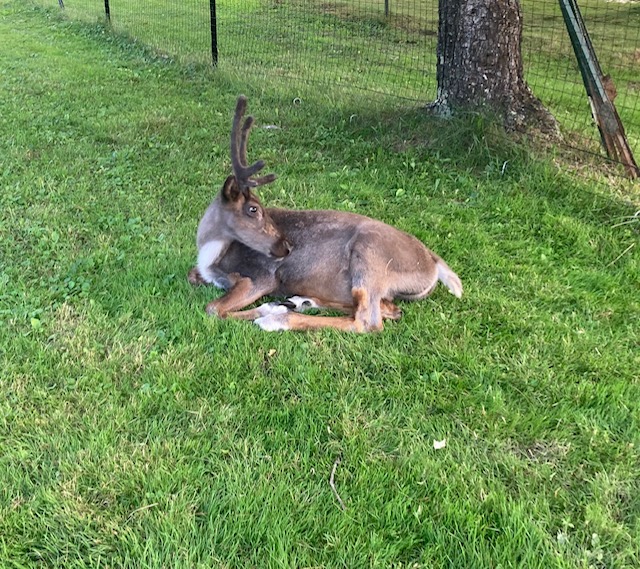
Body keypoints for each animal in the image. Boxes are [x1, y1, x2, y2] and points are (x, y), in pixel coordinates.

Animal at [187, 95, 462, 332]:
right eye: (252, 208)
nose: (286, 247)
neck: (212, 254)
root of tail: (434, 263)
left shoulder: (261, 276)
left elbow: (214, 308)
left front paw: (268, 310)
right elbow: (193, 276)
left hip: (370, 257)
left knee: (368, 320)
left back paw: (278, 318)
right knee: (387, 308)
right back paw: (301, 302)